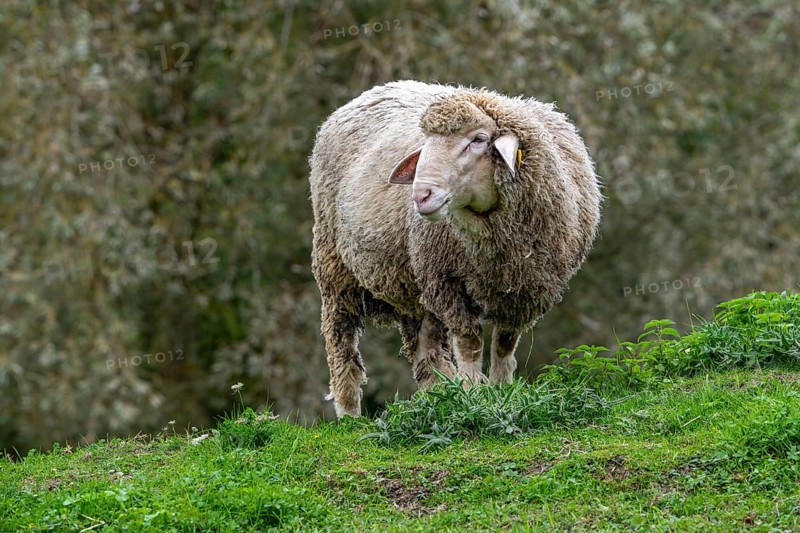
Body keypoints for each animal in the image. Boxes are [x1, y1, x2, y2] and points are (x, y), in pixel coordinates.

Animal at [309, 80, 602, 418]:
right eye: (427, 141)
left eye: (479, 139)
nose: (421, 195)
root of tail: (375, 90)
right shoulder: (447, 282)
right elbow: (470, 342)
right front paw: (474, 393)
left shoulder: (524, 291)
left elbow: (504, 344)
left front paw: (501, 390)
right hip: (335, 265)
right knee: (341, 339)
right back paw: (349, 413)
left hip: (412, 283)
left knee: (425, 347)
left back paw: (439, 392)